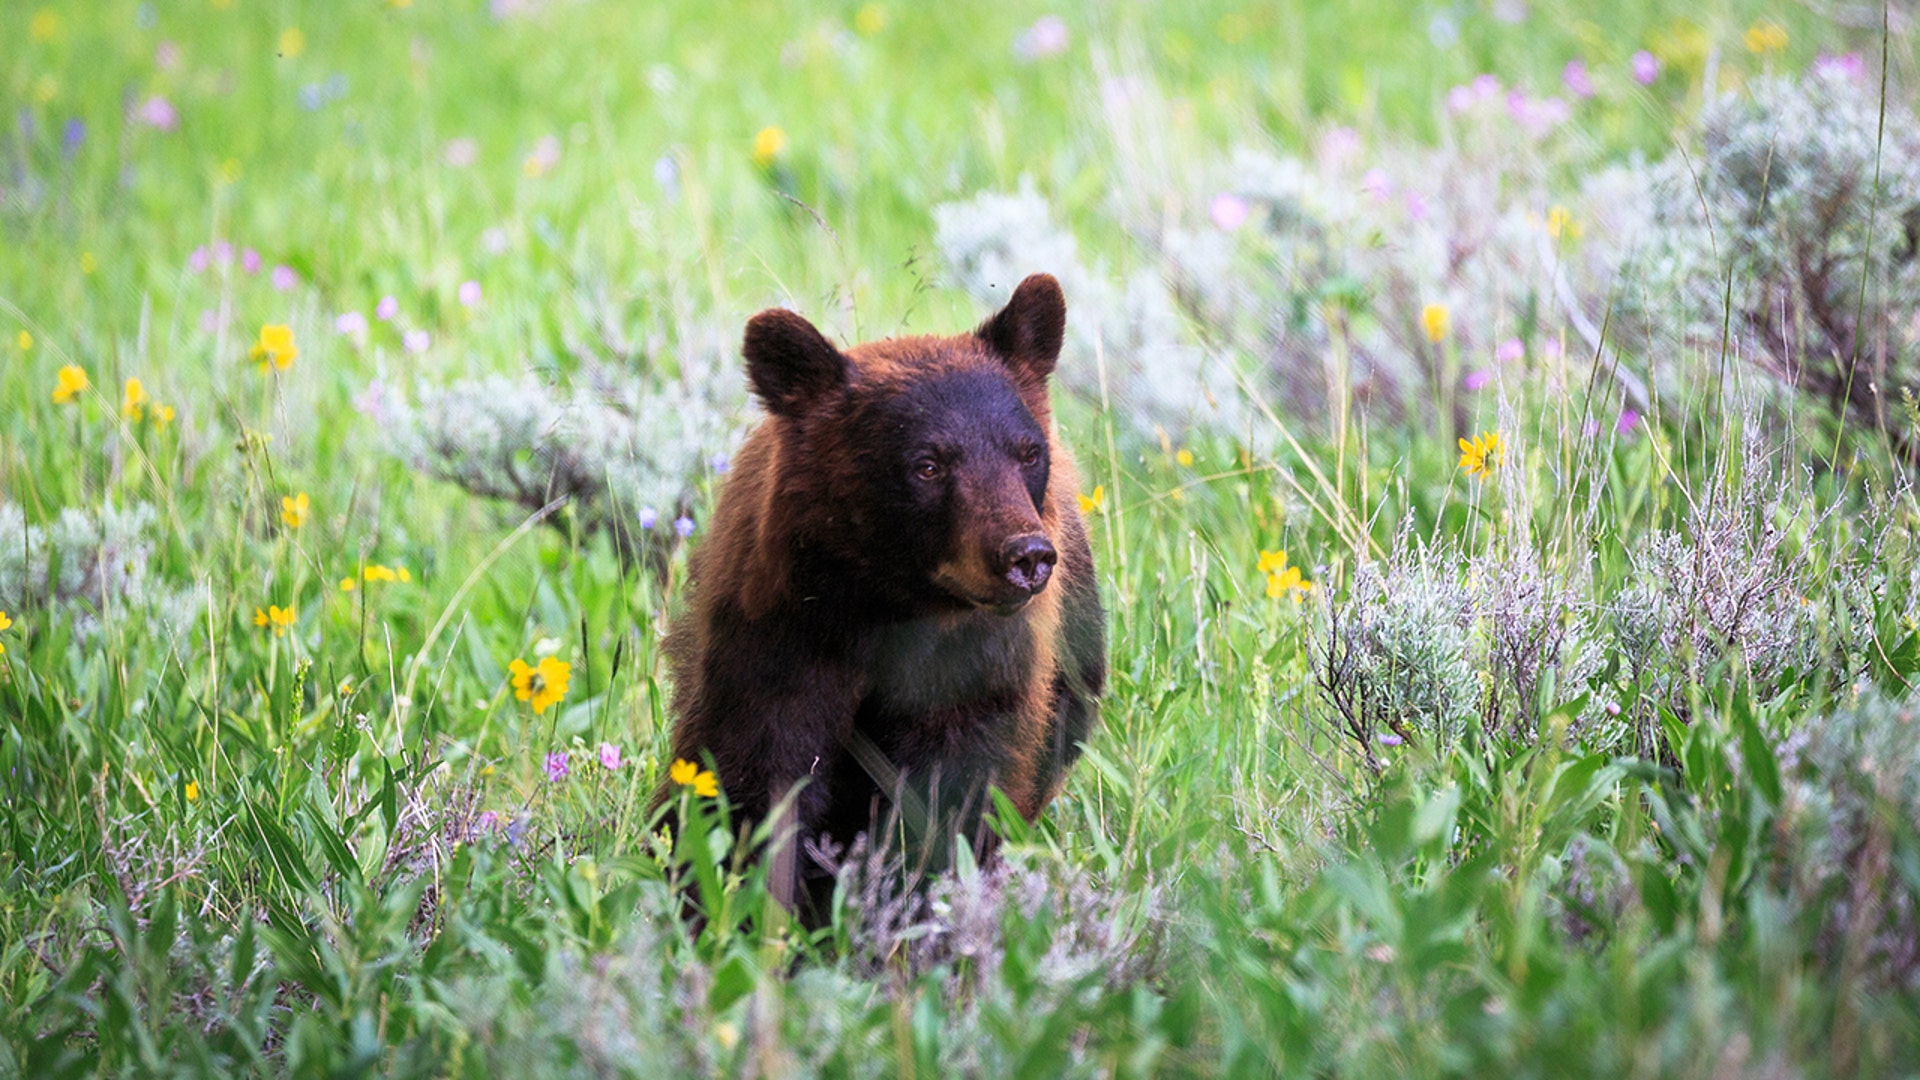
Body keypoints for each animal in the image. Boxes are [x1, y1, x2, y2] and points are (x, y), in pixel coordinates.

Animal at [660, 273, 1105, 917]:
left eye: (1028, 452)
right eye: (928, 464)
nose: (1026, 556)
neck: (889, 608)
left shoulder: (977, 669)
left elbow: (949, 792)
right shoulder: (778, 636)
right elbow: (756, 769)